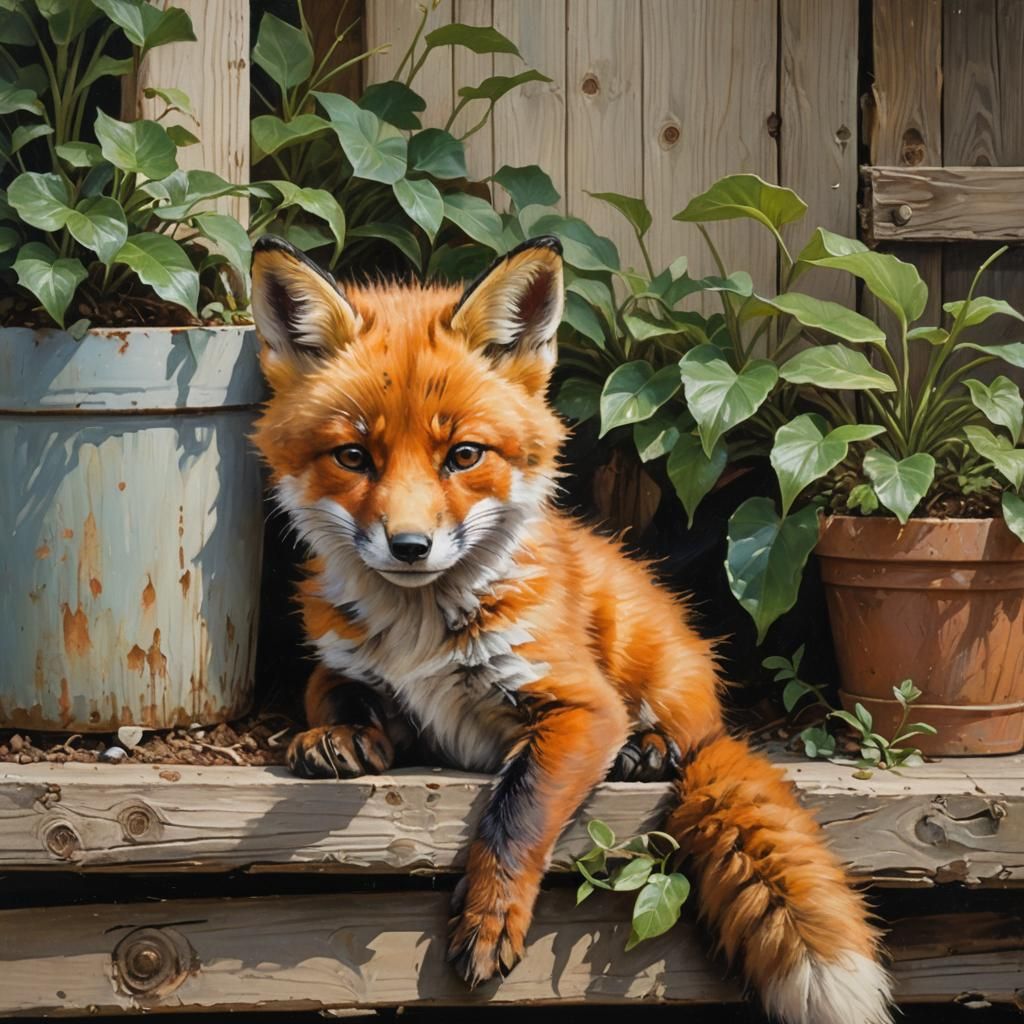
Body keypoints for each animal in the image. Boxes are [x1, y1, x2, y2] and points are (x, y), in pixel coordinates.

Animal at [249, 233, 893, 1024]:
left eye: (463, 455)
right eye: (353, 456)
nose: (409, 547)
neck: (420, 634)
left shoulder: (580, 705)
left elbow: (518, 813)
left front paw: (491, 916)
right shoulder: (342, 665)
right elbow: (336, 693)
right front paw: (341, 735)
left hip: (656, 672)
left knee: (689, 733)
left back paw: (651, 752)